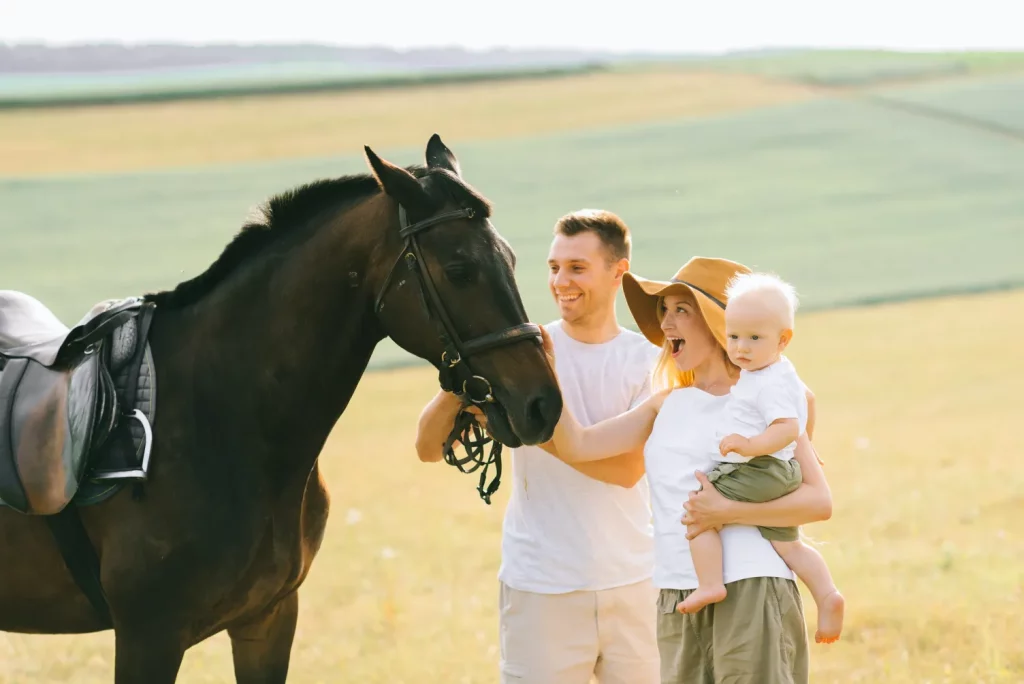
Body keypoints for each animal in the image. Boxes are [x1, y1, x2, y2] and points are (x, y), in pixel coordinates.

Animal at [0, 135, 561, 684]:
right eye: (459, 270)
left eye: (511, 259)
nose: (544, 405)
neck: (219, 415)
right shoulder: (149, 637)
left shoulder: (267, 620)